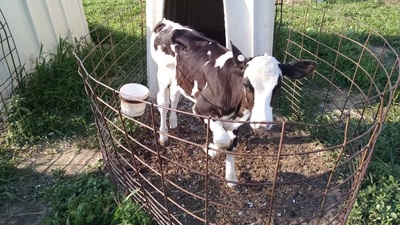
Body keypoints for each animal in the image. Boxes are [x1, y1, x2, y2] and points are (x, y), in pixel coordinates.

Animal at [150, 18, 316, 188]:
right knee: (163, 103)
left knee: (175, 95)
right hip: (163, 74)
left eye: (278, 87)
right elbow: (222, 140)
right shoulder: (201, 108)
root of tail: (168, 24)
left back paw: (173, 122)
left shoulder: (236, 121)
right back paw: (163, 135)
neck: (236, 106)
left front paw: (231, 178)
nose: (262, 124)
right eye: (246, 84)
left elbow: (231, 144)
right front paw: (210, 149)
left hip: (179, 77)